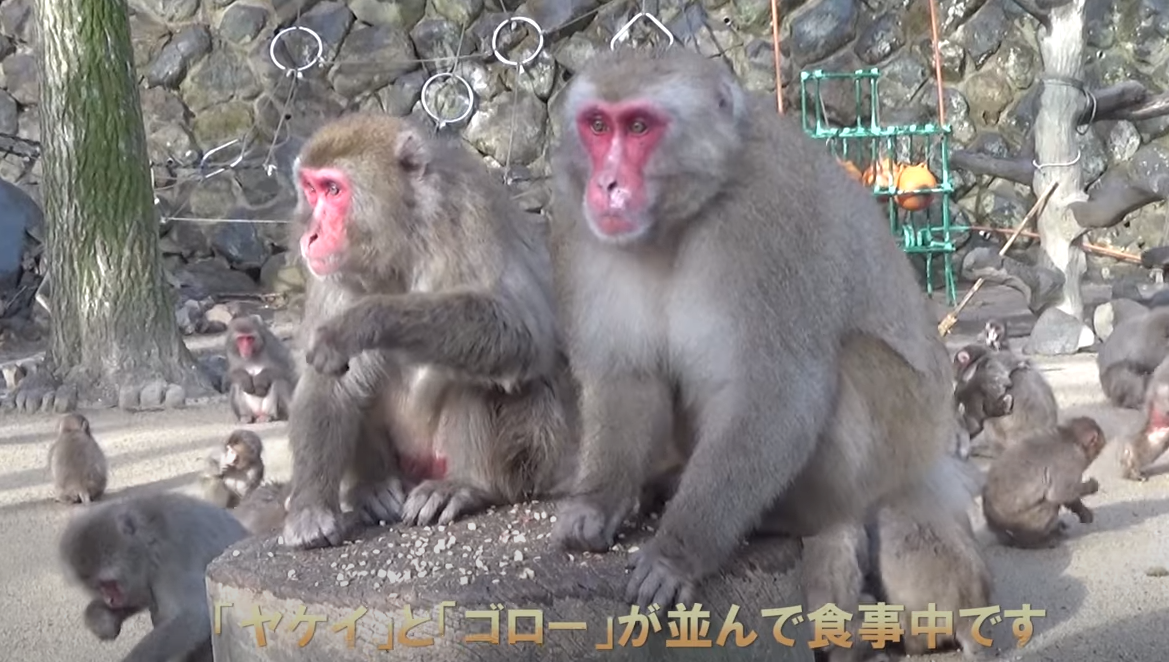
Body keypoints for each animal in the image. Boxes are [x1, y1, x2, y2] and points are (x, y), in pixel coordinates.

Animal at [58, 493, 247, 662]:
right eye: (98, 587)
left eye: (110, 584)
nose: (109, 600)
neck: (151, 539)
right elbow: (141, 598)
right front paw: (101, 618)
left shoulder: (174, 558)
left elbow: (195, 616)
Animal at [282, 114, 575, 549]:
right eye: (311, 190)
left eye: (333, 190)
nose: (311, 235)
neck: (403, 245)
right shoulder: (330, 272)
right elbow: (330, 384)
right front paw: (308, 508)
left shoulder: (473, 214)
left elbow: (522, 330)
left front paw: (365, 320)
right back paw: (372, 486)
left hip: (536, 449)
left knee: (490, 373)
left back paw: (467, 485)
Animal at [977, 421, 1103, 549]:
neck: (1069, 438)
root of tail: (989, 516)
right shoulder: (1070, 461)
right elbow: (1059, 494)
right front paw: (1091, 486)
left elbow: (1067, 497)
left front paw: (1083, 511)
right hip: (1017, 520)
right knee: (1049, 506)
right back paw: (1034, 542)